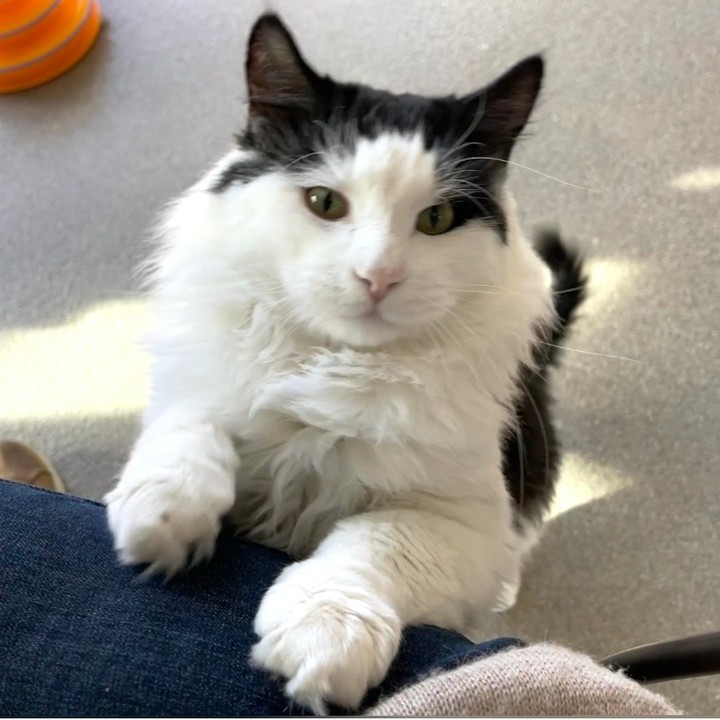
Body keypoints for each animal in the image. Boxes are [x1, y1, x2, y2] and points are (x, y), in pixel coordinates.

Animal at [107, 12, 588, 716]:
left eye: (436, 218)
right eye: (325, 203)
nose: (376, 276)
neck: (334, 366)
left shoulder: (462, 521)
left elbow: (375, 541)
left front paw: (324, 634)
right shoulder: (193, 385)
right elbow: (191, 425)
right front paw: (164, 515)